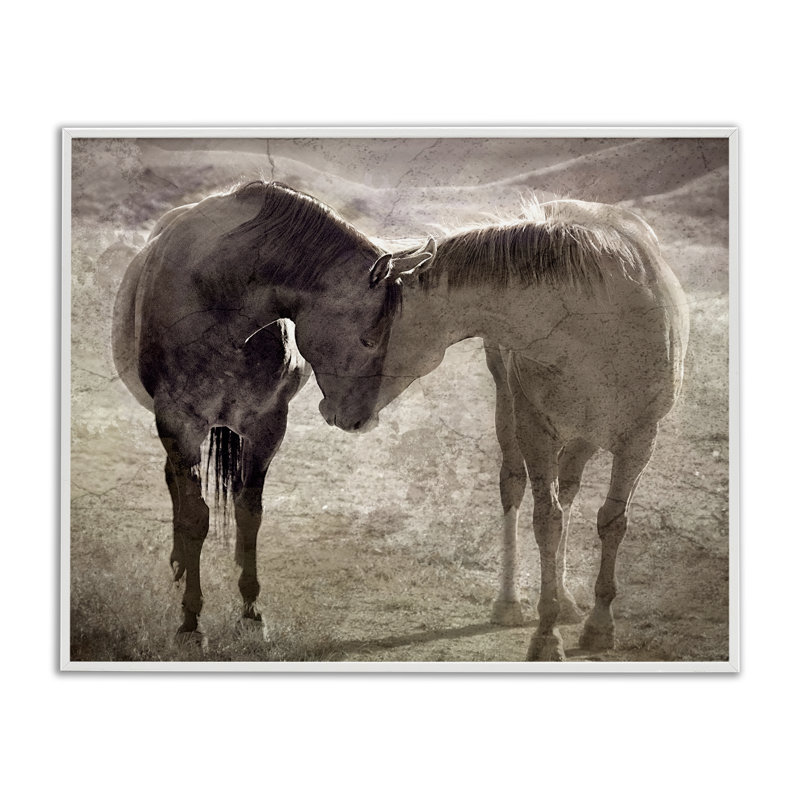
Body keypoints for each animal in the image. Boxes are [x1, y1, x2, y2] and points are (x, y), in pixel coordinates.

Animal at [112, 181, 434, 650]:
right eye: (370, 338)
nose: (361, 419)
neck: (218, 298)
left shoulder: (266, 426)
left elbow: (250, 513)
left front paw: (251, 611)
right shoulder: (177, 422)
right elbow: (195, 517)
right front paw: (191, 621)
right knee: (176, 486)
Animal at [324, 199, 690, 661]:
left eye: (368, 339)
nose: (332, 410)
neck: (593, 326)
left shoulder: (639, 439)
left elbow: (611, 522)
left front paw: (599, 625)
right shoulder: (535, 430)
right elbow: (546, 521)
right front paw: (546, 636)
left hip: (584, 437)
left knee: (569, 490)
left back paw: (567, 600)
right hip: (511, 410)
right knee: (514, 486)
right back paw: (510, 602)